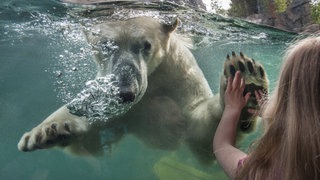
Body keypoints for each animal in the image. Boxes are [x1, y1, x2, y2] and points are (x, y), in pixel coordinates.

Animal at [16, 16, 268, 165]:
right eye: (105, 46)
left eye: (146, 45)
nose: (125, 92)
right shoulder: (111, 102)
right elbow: (95, 140)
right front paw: (47, 131)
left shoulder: (180, 74)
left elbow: (199, 131)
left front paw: (245, 84)